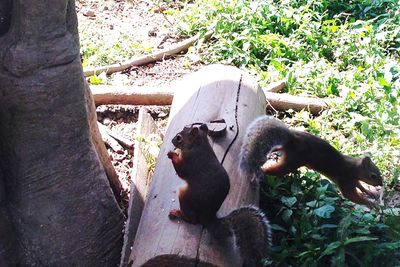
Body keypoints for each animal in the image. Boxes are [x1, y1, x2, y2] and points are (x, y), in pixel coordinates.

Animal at [239, 116, 382, 207]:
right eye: (373, 175)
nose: (380, 184)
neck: (354, 167)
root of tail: (292, 140)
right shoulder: (346, 179)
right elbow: (350, 195)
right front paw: (370, 204)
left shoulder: (352, 180)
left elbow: (359, 185)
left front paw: (369, 192)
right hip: (291, 163)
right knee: (268, 170)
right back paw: (256, 175)